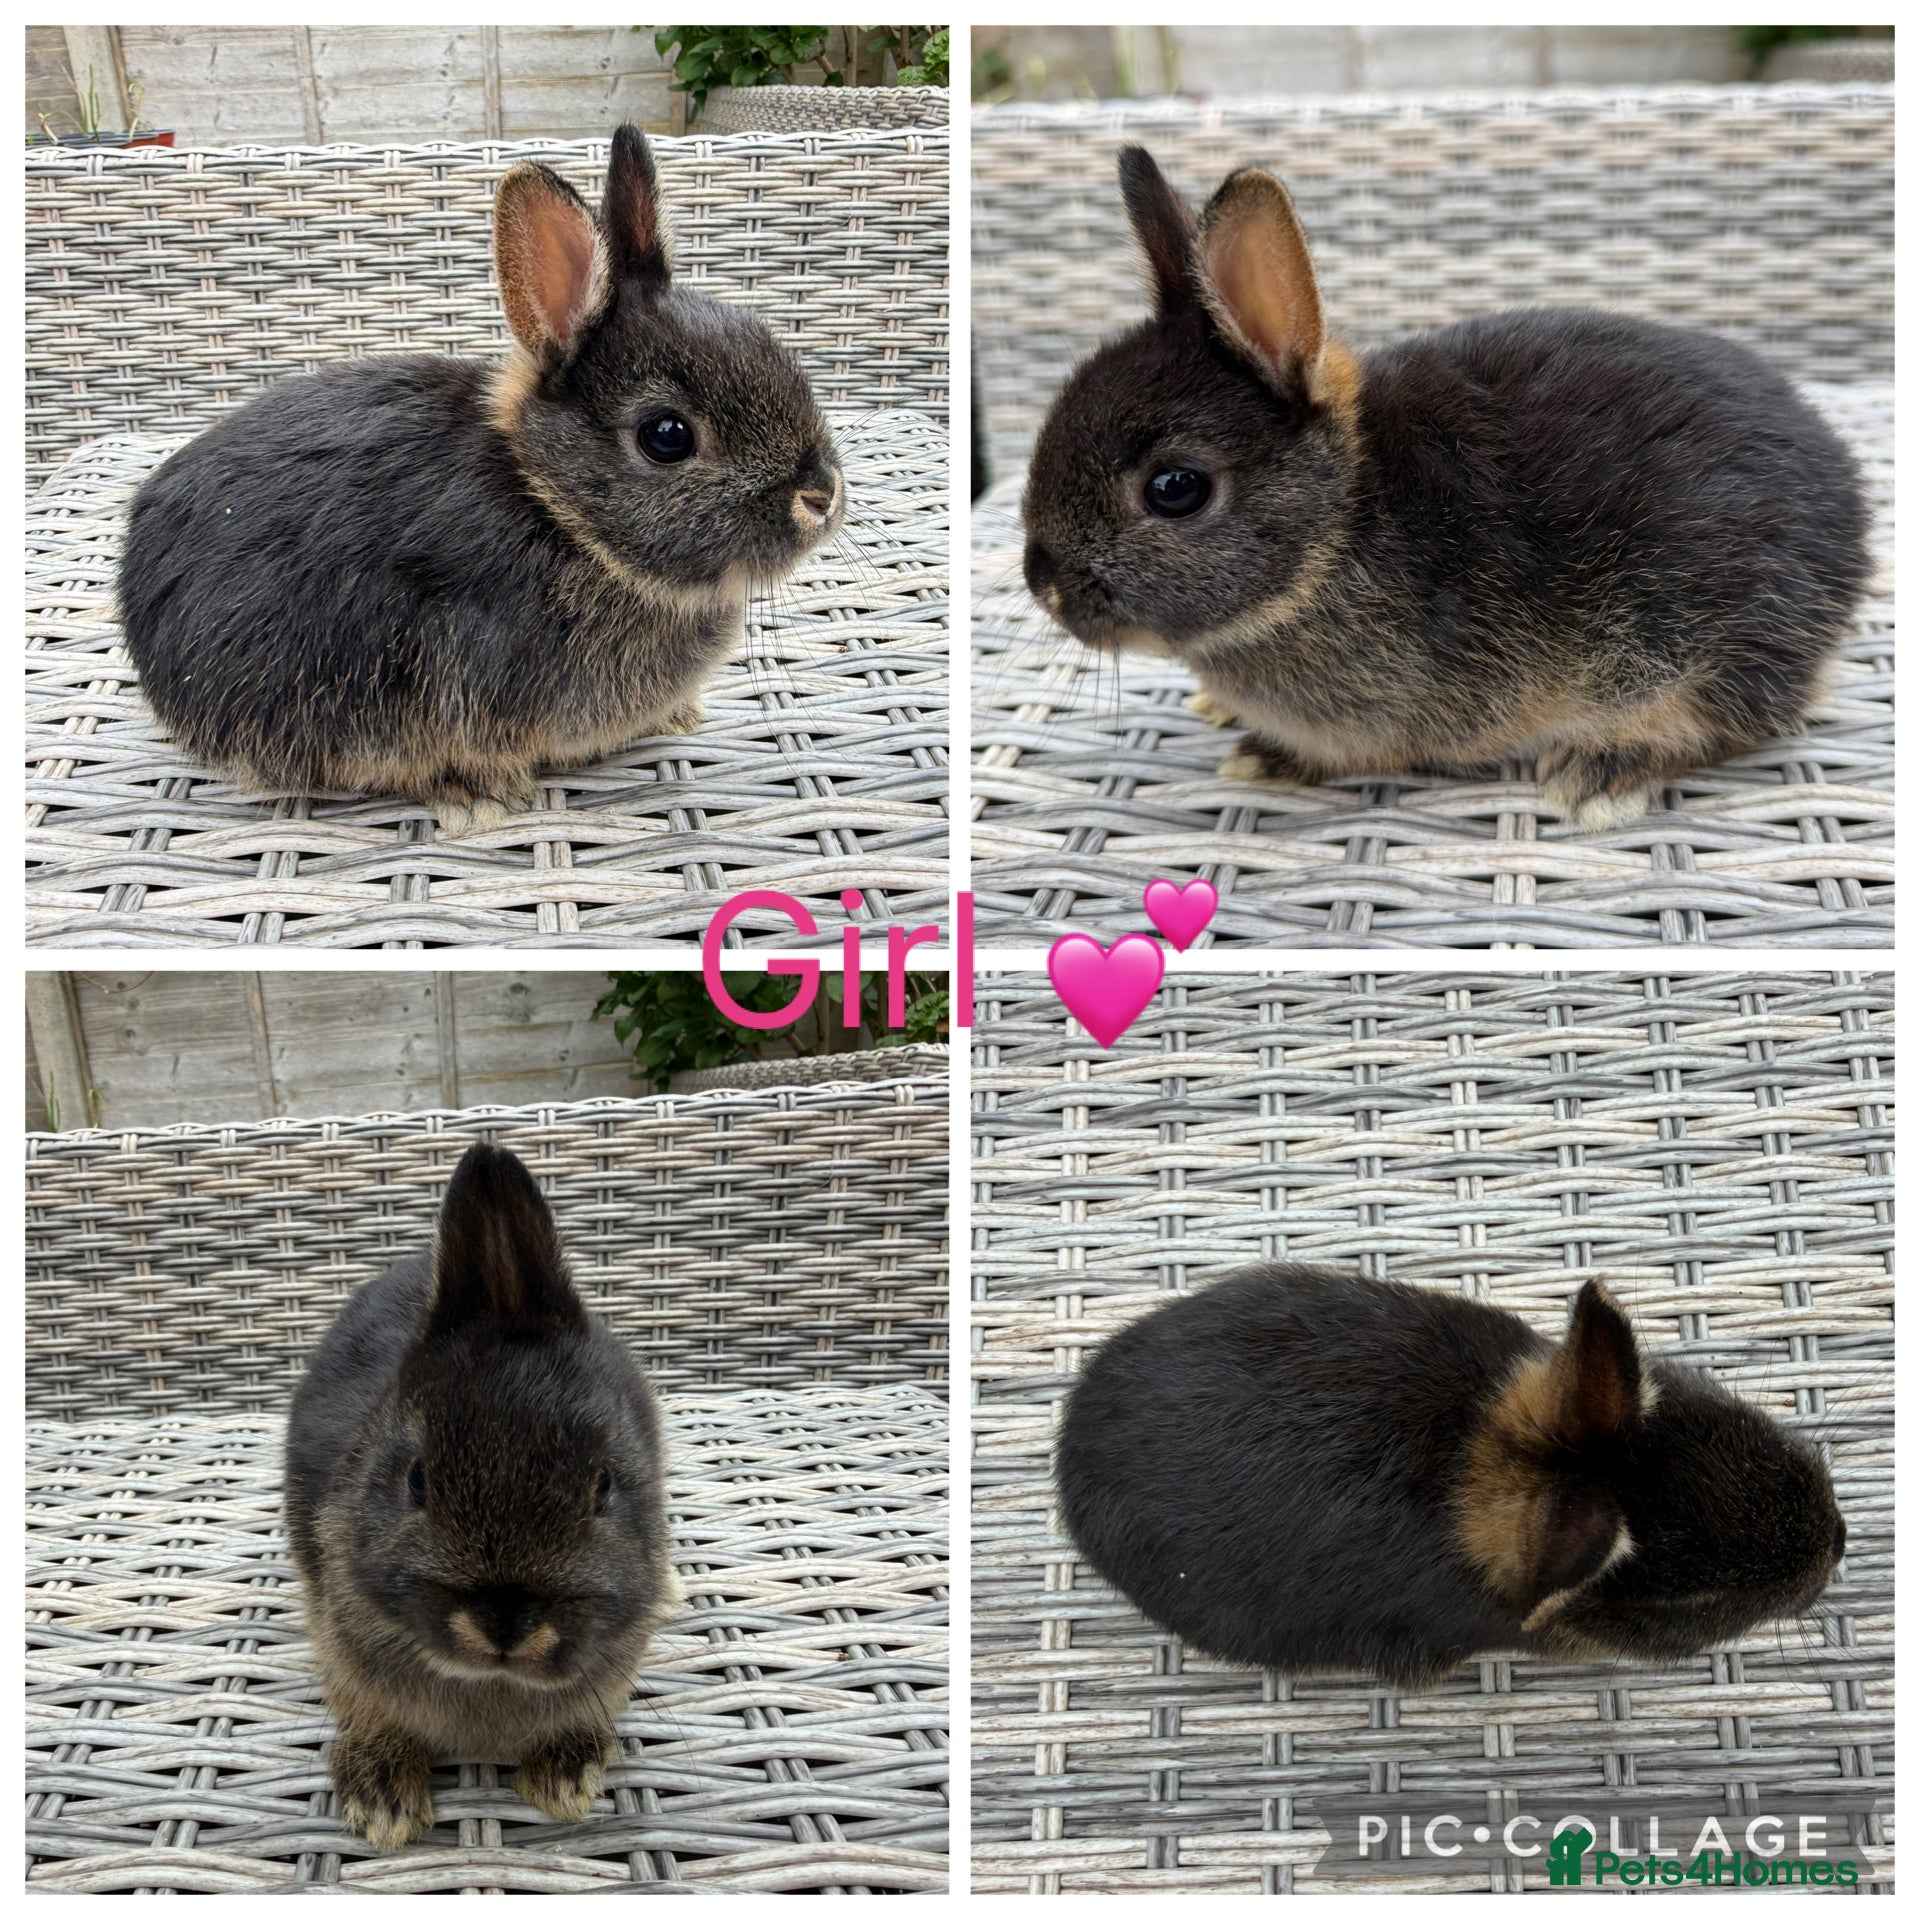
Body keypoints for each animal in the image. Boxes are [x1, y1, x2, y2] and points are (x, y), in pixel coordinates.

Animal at [1021, 148, 1870, 830]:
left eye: (1176, 488)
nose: (1044, 586)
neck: (1341, 523)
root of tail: (1852, 520)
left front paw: (1263, 758)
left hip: (1707, 641)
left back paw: (1599, 775)